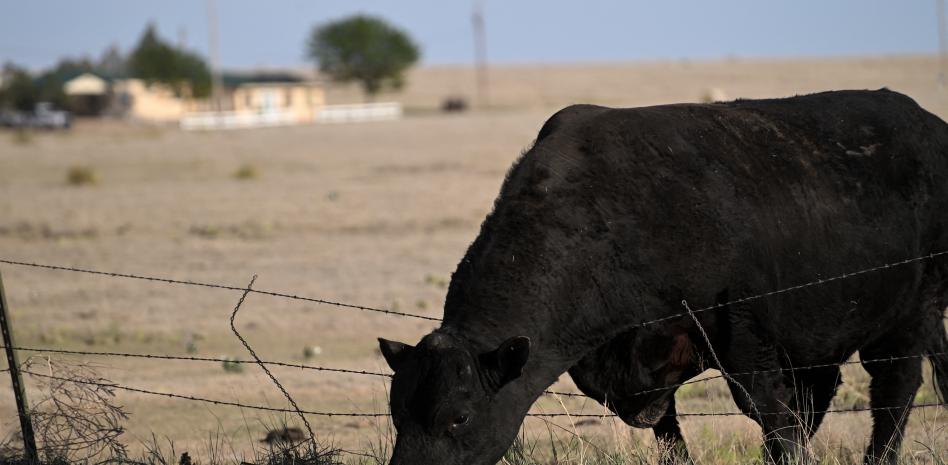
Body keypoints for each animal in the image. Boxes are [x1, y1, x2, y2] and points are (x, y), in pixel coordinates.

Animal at [378, 89, 948, 465]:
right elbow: (670, 431)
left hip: (910, 313)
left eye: (459, 417)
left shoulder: (743, 336)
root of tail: (926, 121)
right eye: (397, 413)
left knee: (894, 390)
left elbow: (771, 417)